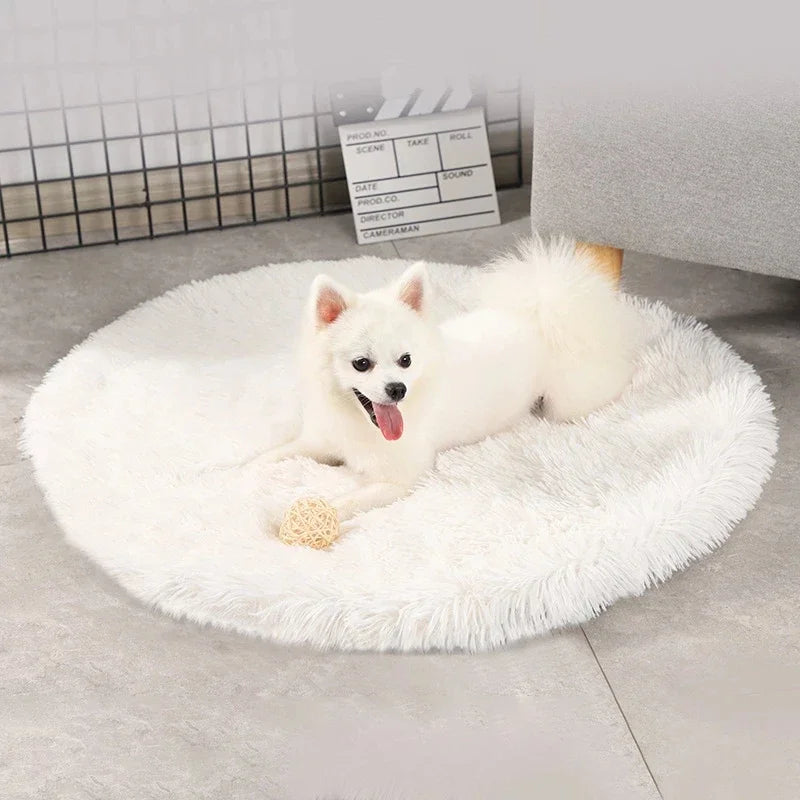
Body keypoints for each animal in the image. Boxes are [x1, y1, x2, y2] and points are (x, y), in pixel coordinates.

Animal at [266, 238, 640, 524]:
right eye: (361, 364)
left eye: (405, 360)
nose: (397, 389)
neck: (356, 422)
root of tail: (536, 316)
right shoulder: (318, 441)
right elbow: (269, 457)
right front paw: (253, 471)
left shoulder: (399, 480)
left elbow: (345, 501)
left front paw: (303, 516)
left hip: (570, 400)